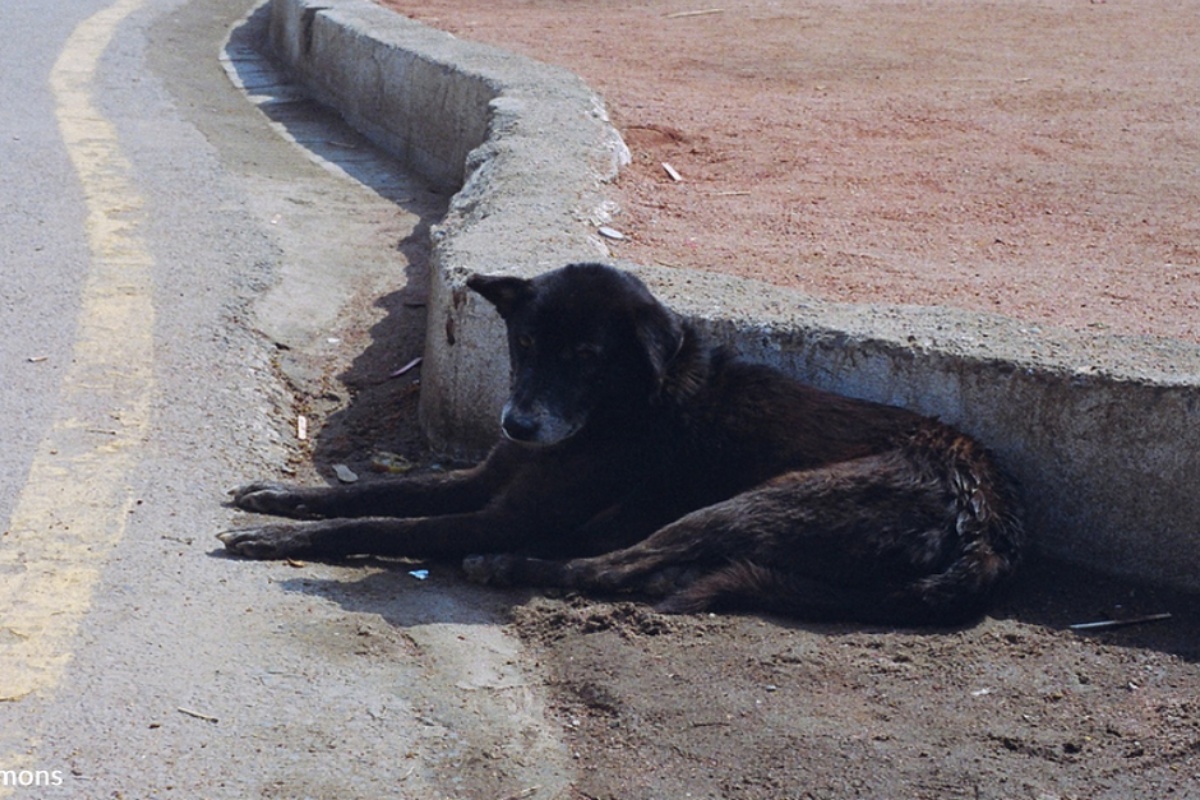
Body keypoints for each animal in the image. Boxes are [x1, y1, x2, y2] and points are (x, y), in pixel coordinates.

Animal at [220, 262, 1027, 623]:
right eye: (524, 342)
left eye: (586, 357)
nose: (517, 423)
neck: (624, 407)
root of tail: (988, 526)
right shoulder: (485, 478)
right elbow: (383, 489)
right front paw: (278, 495)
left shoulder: (508, 512)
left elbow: (380, 523)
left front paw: (274, 541)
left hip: (761, 501)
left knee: (610, 566)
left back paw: (513, 567)